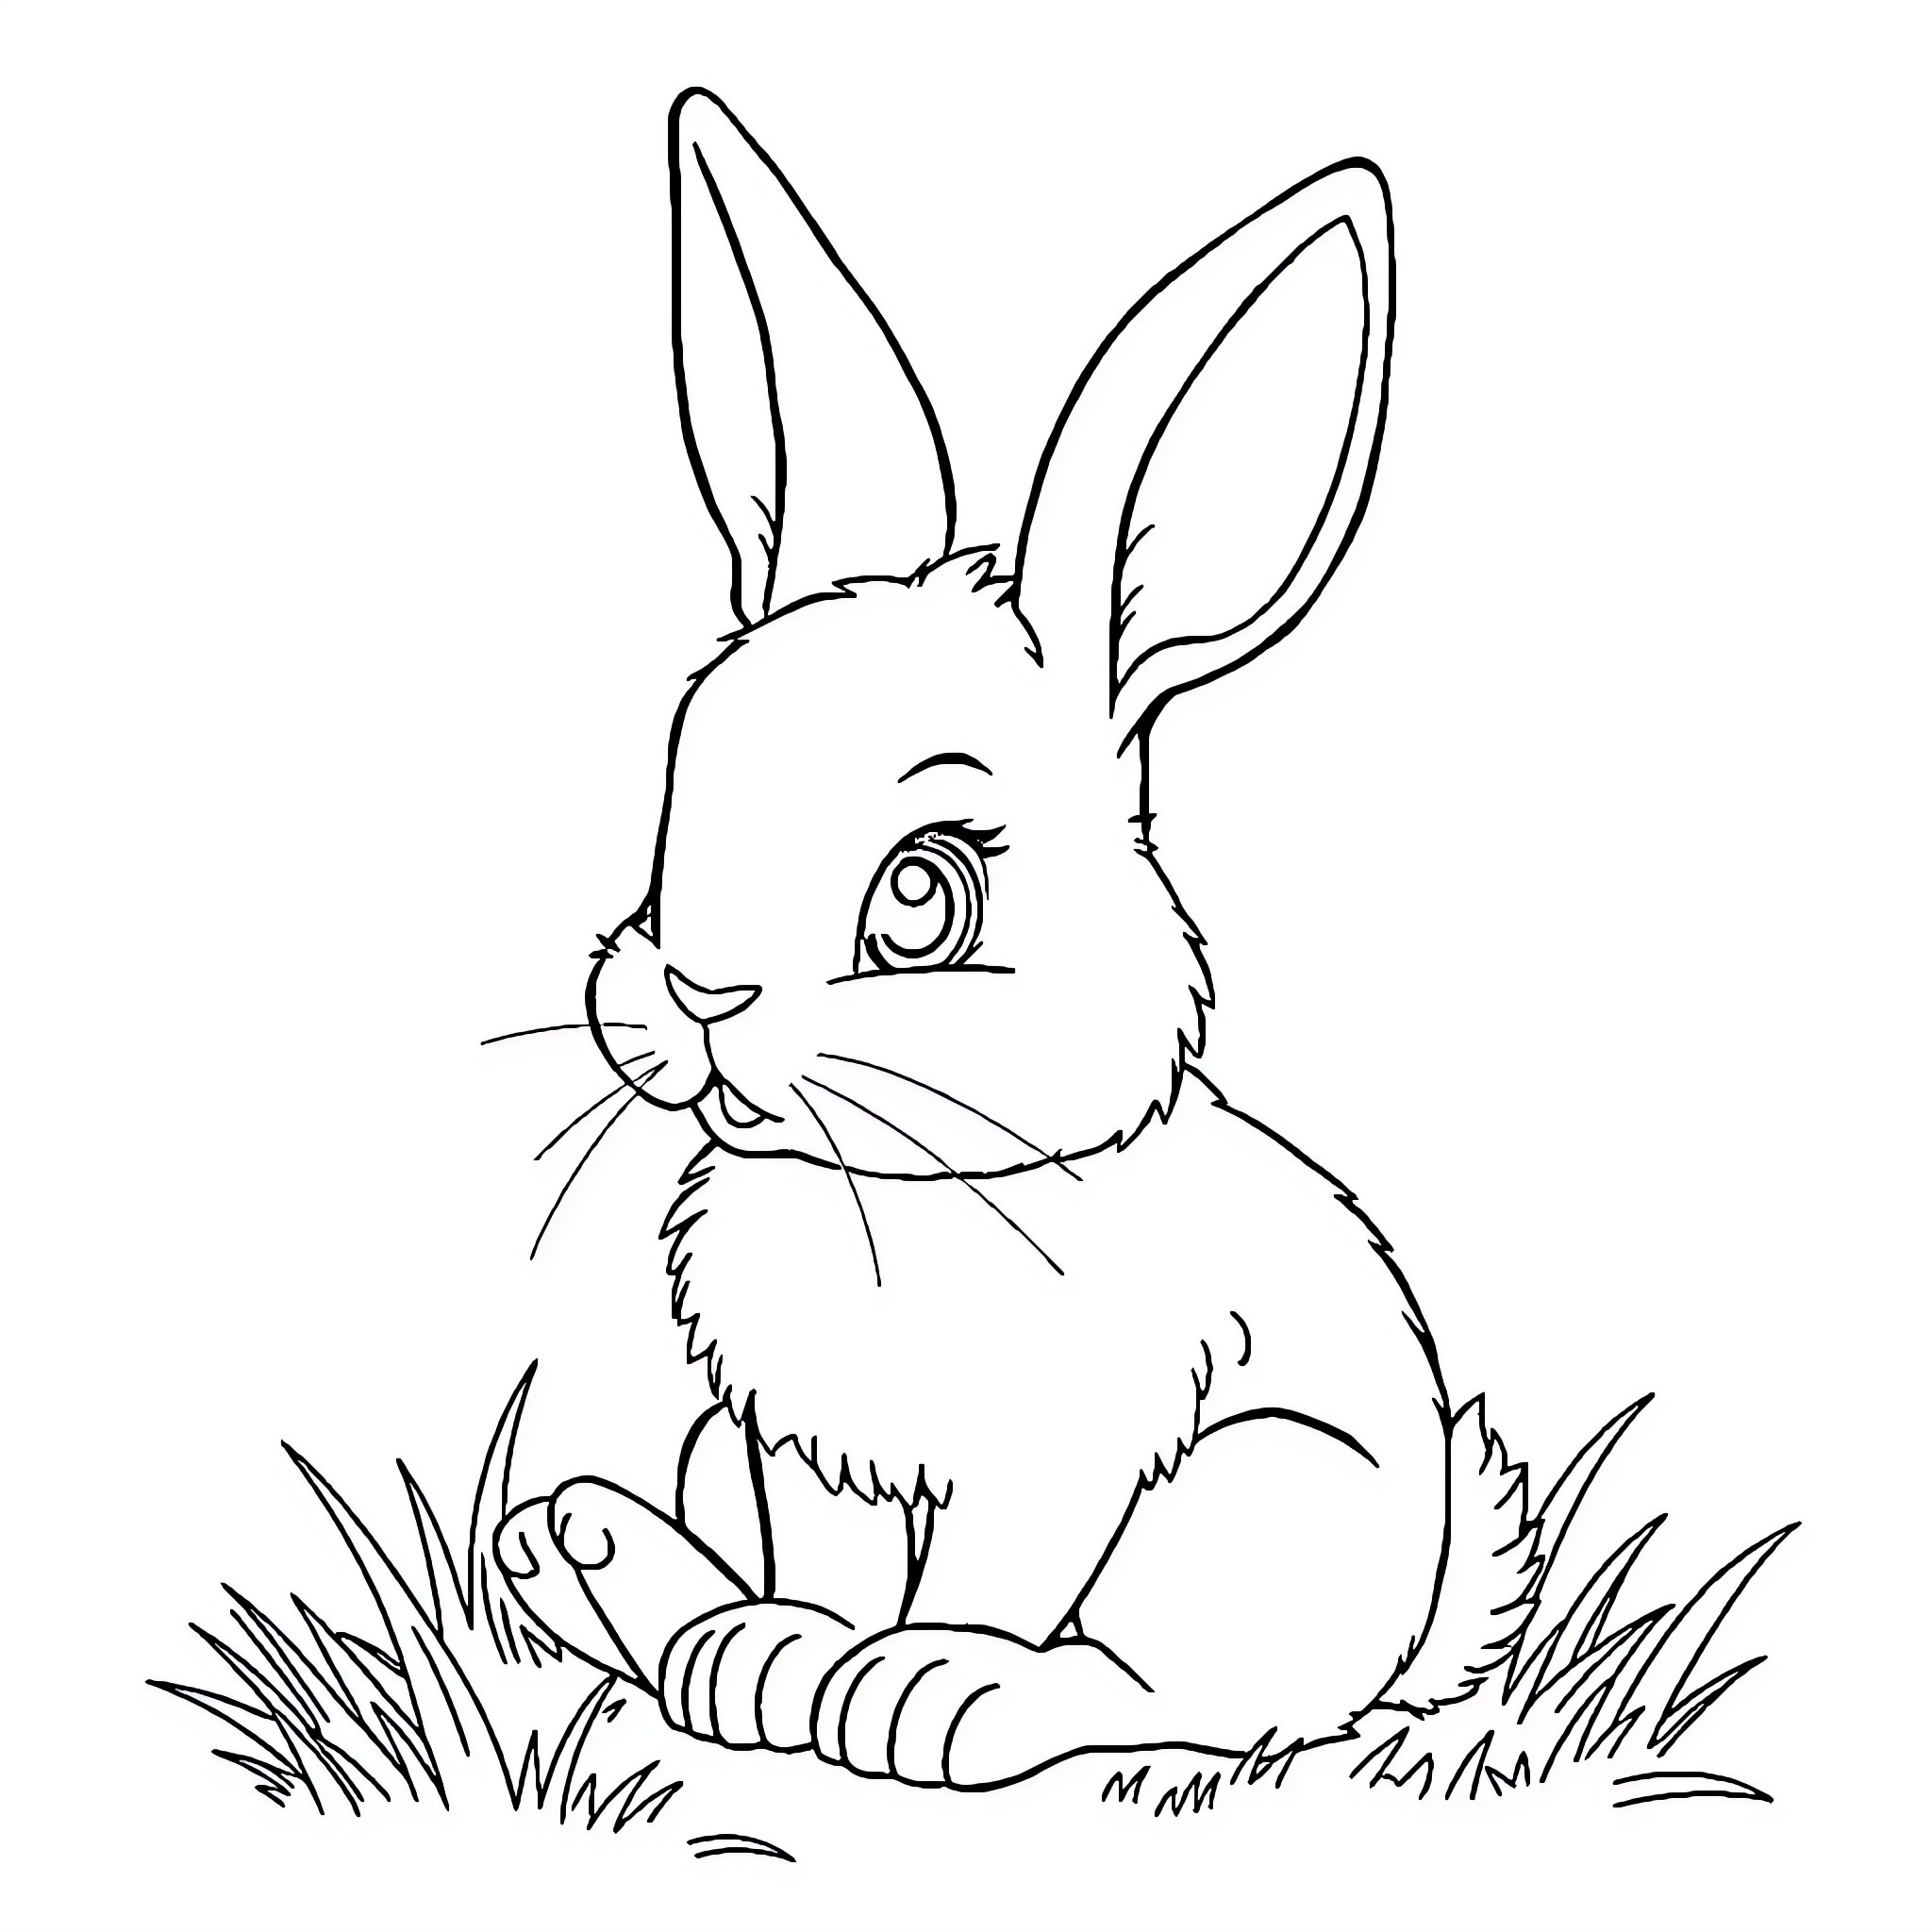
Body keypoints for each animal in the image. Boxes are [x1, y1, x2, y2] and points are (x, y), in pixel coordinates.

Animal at [498, 88, 1505, 1791]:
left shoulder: (1060, 1457)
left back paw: (970, 1702)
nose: (697, 993)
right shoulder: (791, 1443)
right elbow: (822, 1565)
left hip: (1249, 1502)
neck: (900, 1178)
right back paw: (609, 1564)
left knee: (1182, 1698)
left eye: (923, 896)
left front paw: (903, 1691)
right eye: (681, 802)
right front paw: (769, 1667)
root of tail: (1421, 1621)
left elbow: (997, 1585)